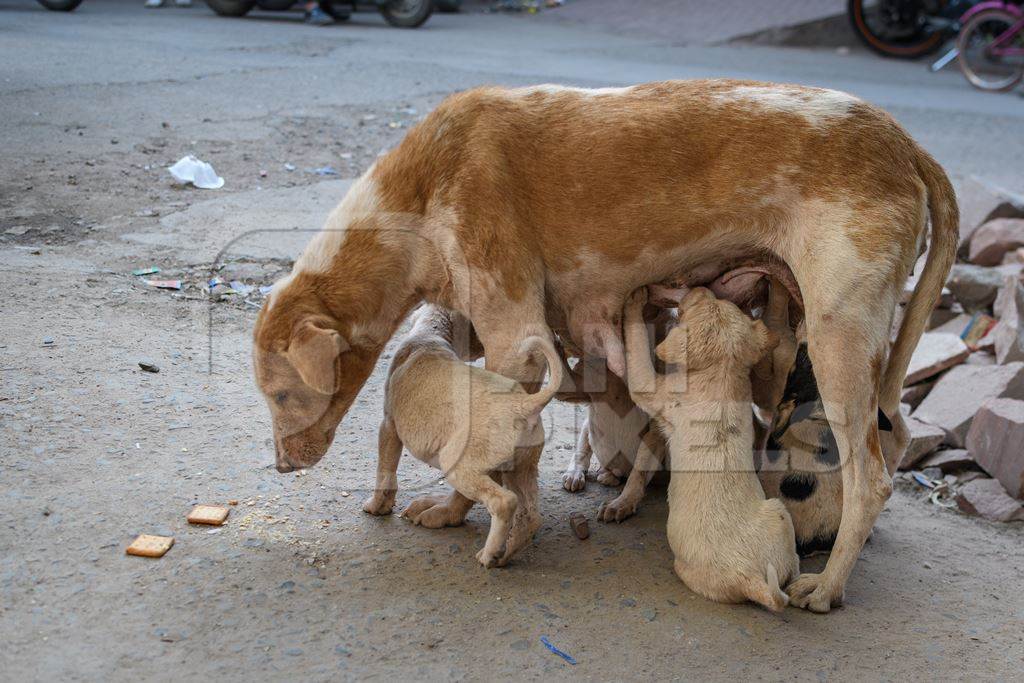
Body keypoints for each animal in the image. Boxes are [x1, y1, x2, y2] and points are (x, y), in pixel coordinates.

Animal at [368, 307, 561, 569]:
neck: (429, 335)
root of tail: (524, 404)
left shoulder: (388, 426)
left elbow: (385, 470)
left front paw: (376, 507)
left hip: (458, 464)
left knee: (504, 502)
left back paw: (488, 554)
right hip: (521, 468)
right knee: (530, 515)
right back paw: (503, 555)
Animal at [622, 286, 798, 610]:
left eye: (697, 305)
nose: (700, 287)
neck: (722, 374)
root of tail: (750, 577)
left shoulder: (652, 389)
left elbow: (637, 347)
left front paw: (634, 300)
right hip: (779, 515)